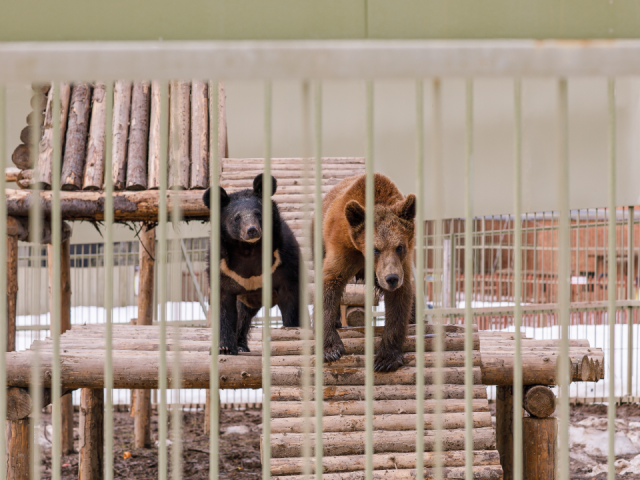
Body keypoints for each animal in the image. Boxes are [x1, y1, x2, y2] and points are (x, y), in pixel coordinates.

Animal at [204, 174, 302, 354]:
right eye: (237, 218)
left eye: (258, 213)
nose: (252, 230)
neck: (249, 248)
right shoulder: (222, 265)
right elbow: (224, 305)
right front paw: (225, 348)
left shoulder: (283, 259)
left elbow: (290, 300)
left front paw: (290, 333)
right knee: (242, 317)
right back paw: (241, 346)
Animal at [316, 172, 416, 372]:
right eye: (375, 249)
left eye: (399, 246)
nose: (391, 278)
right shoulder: (344, 247)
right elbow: (330, 282)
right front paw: (331, 349)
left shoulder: (402, 265)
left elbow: (400, 301)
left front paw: (386, 359)